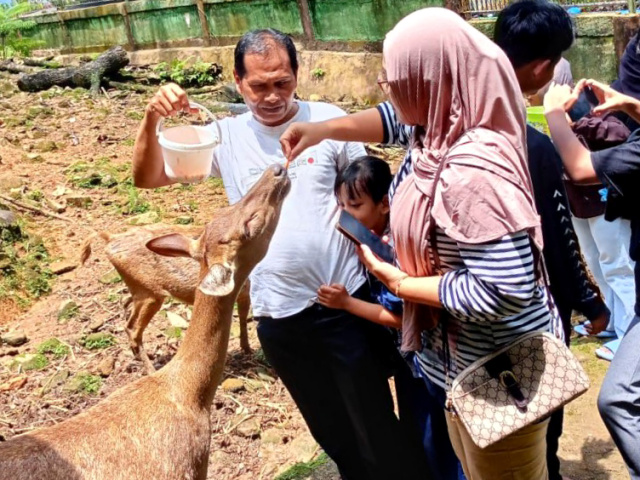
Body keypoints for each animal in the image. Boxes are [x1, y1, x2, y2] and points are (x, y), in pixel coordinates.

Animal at [80, 225, 252, 373]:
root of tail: (110, 239)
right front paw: (248, 351)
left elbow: (242, 318)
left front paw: (246, 349)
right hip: (150, 293)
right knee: (133, 328)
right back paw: (150, 369)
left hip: (141, 290)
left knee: (127, 313)